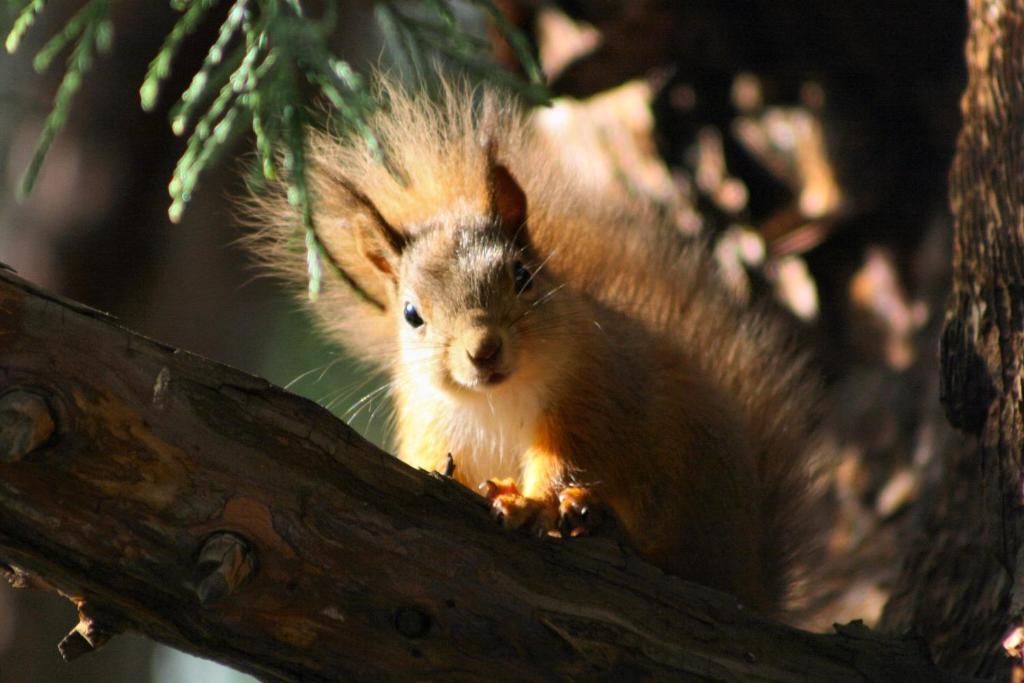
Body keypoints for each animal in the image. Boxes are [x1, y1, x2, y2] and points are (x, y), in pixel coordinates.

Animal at [245, 77, 823, 618]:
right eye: (411, 315)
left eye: (522, 276)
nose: (483, 349)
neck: (495, 400)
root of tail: (753, 579)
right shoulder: (431, 422)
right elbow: (433, 461)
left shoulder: (592, 394)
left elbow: (567, 462)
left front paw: (529, 503)